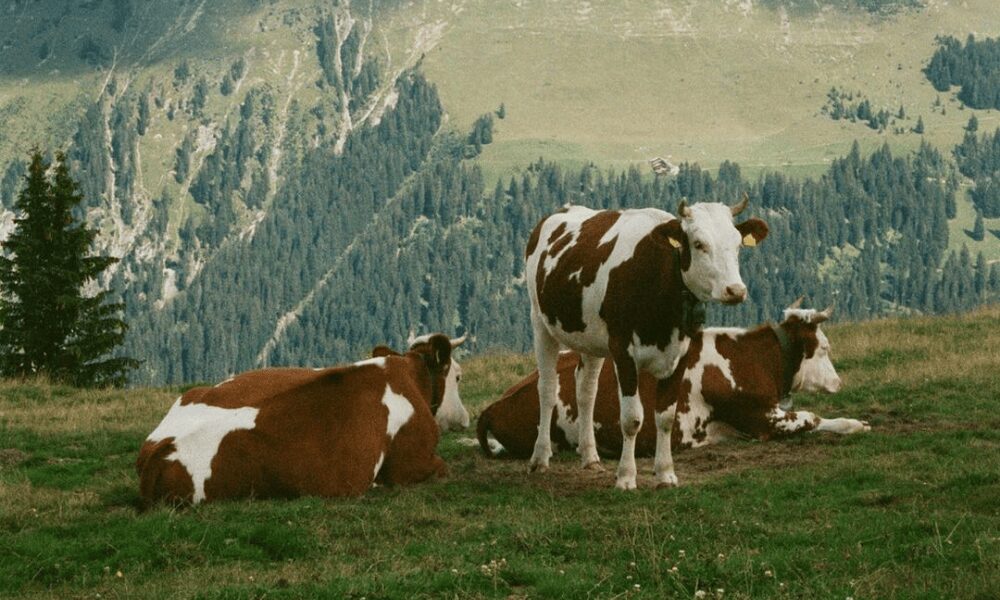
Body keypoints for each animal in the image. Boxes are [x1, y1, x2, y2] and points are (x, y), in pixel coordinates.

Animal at [477, 305, 869, 482]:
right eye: (824, 348)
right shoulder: (762, 418)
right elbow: (812, 418)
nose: (839, 382)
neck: (749, 356)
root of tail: (494, 405)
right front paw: (855, 424)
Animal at [525, 194, 769, 489]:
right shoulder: (623, 351)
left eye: (737, 244)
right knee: (547, 389)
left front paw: (665, 474)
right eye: (699, 244)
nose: (735, 290)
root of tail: (562, 211)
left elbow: (665, 417)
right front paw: (626, 477)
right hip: (540, 322)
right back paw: (539, 458)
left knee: (585, 391)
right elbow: (632, 419)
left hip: (591, 338)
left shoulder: (682, 353)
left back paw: (590, 457)